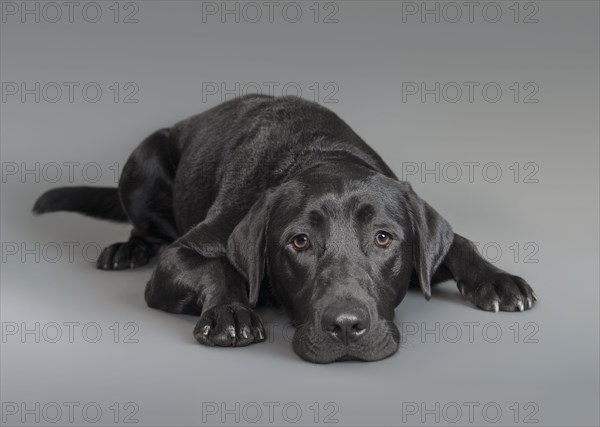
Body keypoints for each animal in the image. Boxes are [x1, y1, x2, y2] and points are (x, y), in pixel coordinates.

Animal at [35, 95, 536, 362]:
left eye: (383, 238)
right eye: (299, 242)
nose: (346, 326)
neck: (322, 152)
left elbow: (459, 243)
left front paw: (498, 280)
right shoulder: (183, 254)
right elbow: (218, 268)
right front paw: (231, 312)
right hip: (145, 157)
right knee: (149, 230)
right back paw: (127, 250)